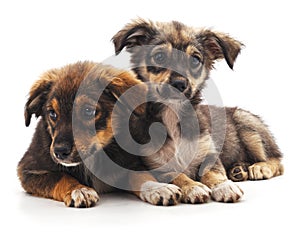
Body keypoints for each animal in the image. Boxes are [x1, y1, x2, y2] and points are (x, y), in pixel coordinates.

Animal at [17, 61, 182, 207]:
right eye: (52, 113)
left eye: (88, 111)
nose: (59, 151)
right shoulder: (28, 170)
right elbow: (61, 176)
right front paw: (79, 189)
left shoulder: (128, 163)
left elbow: (140, 175)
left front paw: (158, 188)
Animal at [112, 18, 284, 203]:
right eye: (159, 57)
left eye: (195, 60)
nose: (180, 84)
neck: (172, 113)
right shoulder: (156, 167)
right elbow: (178, 176)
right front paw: (194, 187)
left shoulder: (210, 155)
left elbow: (212, 173)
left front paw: (223, 186)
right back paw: (239, 170)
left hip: (246, 124)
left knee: (277, 160)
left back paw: (259, 168)